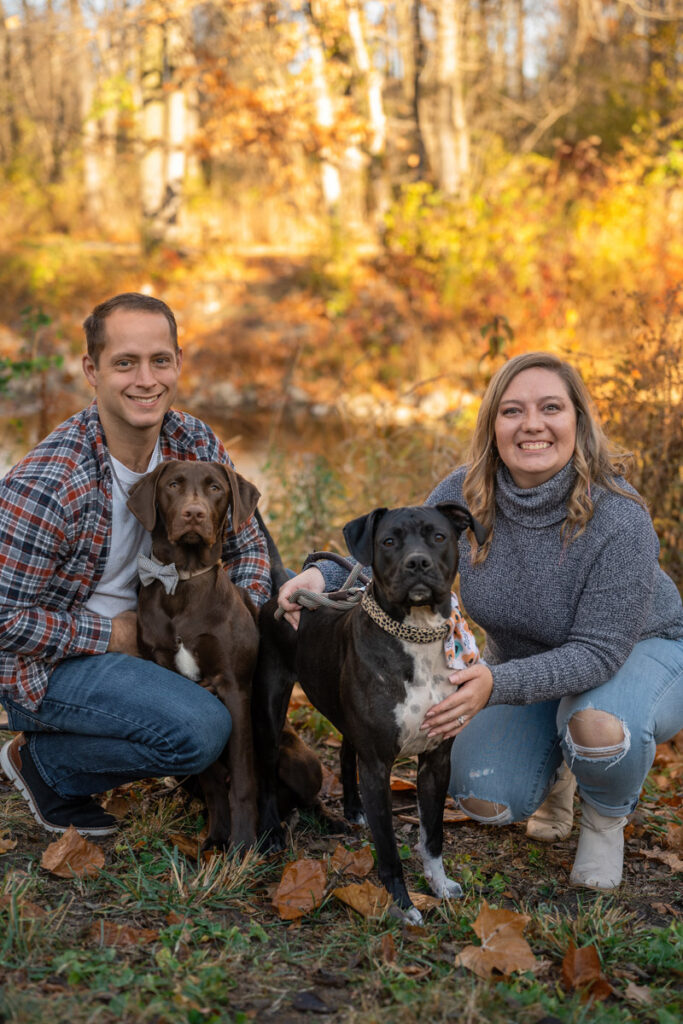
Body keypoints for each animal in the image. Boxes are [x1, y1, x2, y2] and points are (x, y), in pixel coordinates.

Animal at [126, 460, 260, 851]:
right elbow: (212, 777)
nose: (194, 513)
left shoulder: (234, 687)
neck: (183, 579)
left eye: (216, 488)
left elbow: (243, 779)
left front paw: (243, 845)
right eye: (173, 484)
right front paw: (218, 835)